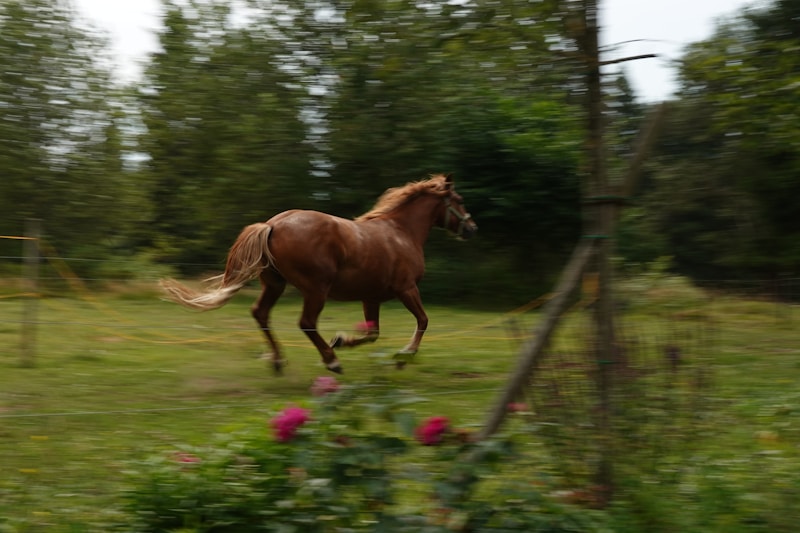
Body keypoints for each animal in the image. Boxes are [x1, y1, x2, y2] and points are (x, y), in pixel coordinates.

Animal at [160, 173, 477, 374]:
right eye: (459, 199)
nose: (472, 228)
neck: (401, 232)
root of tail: (272, 224)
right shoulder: (407, 288)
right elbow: (423, 321)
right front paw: (404, 355)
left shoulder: (371, 297)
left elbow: (372, 333)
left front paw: (343, 340)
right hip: (316, 289)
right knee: (306, 323)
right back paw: (331, 362)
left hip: (275, 285)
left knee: (260, 313)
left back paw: (279, 361)